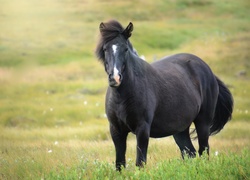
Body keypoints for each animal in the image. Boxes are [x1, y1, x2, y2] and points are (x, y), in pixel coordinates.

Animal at [95, 20, 232, 171]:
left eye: (125, 49)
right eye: (105, 49)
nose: (115, 78)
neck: (122, 97)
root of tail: (208, 70)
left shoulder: (142, 130)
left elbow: (140, 162)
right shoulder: (116, 131)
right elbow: (119, 164)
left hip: (203, 123)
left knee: (203, 151)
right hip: (180, 130)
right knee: (190, 153)